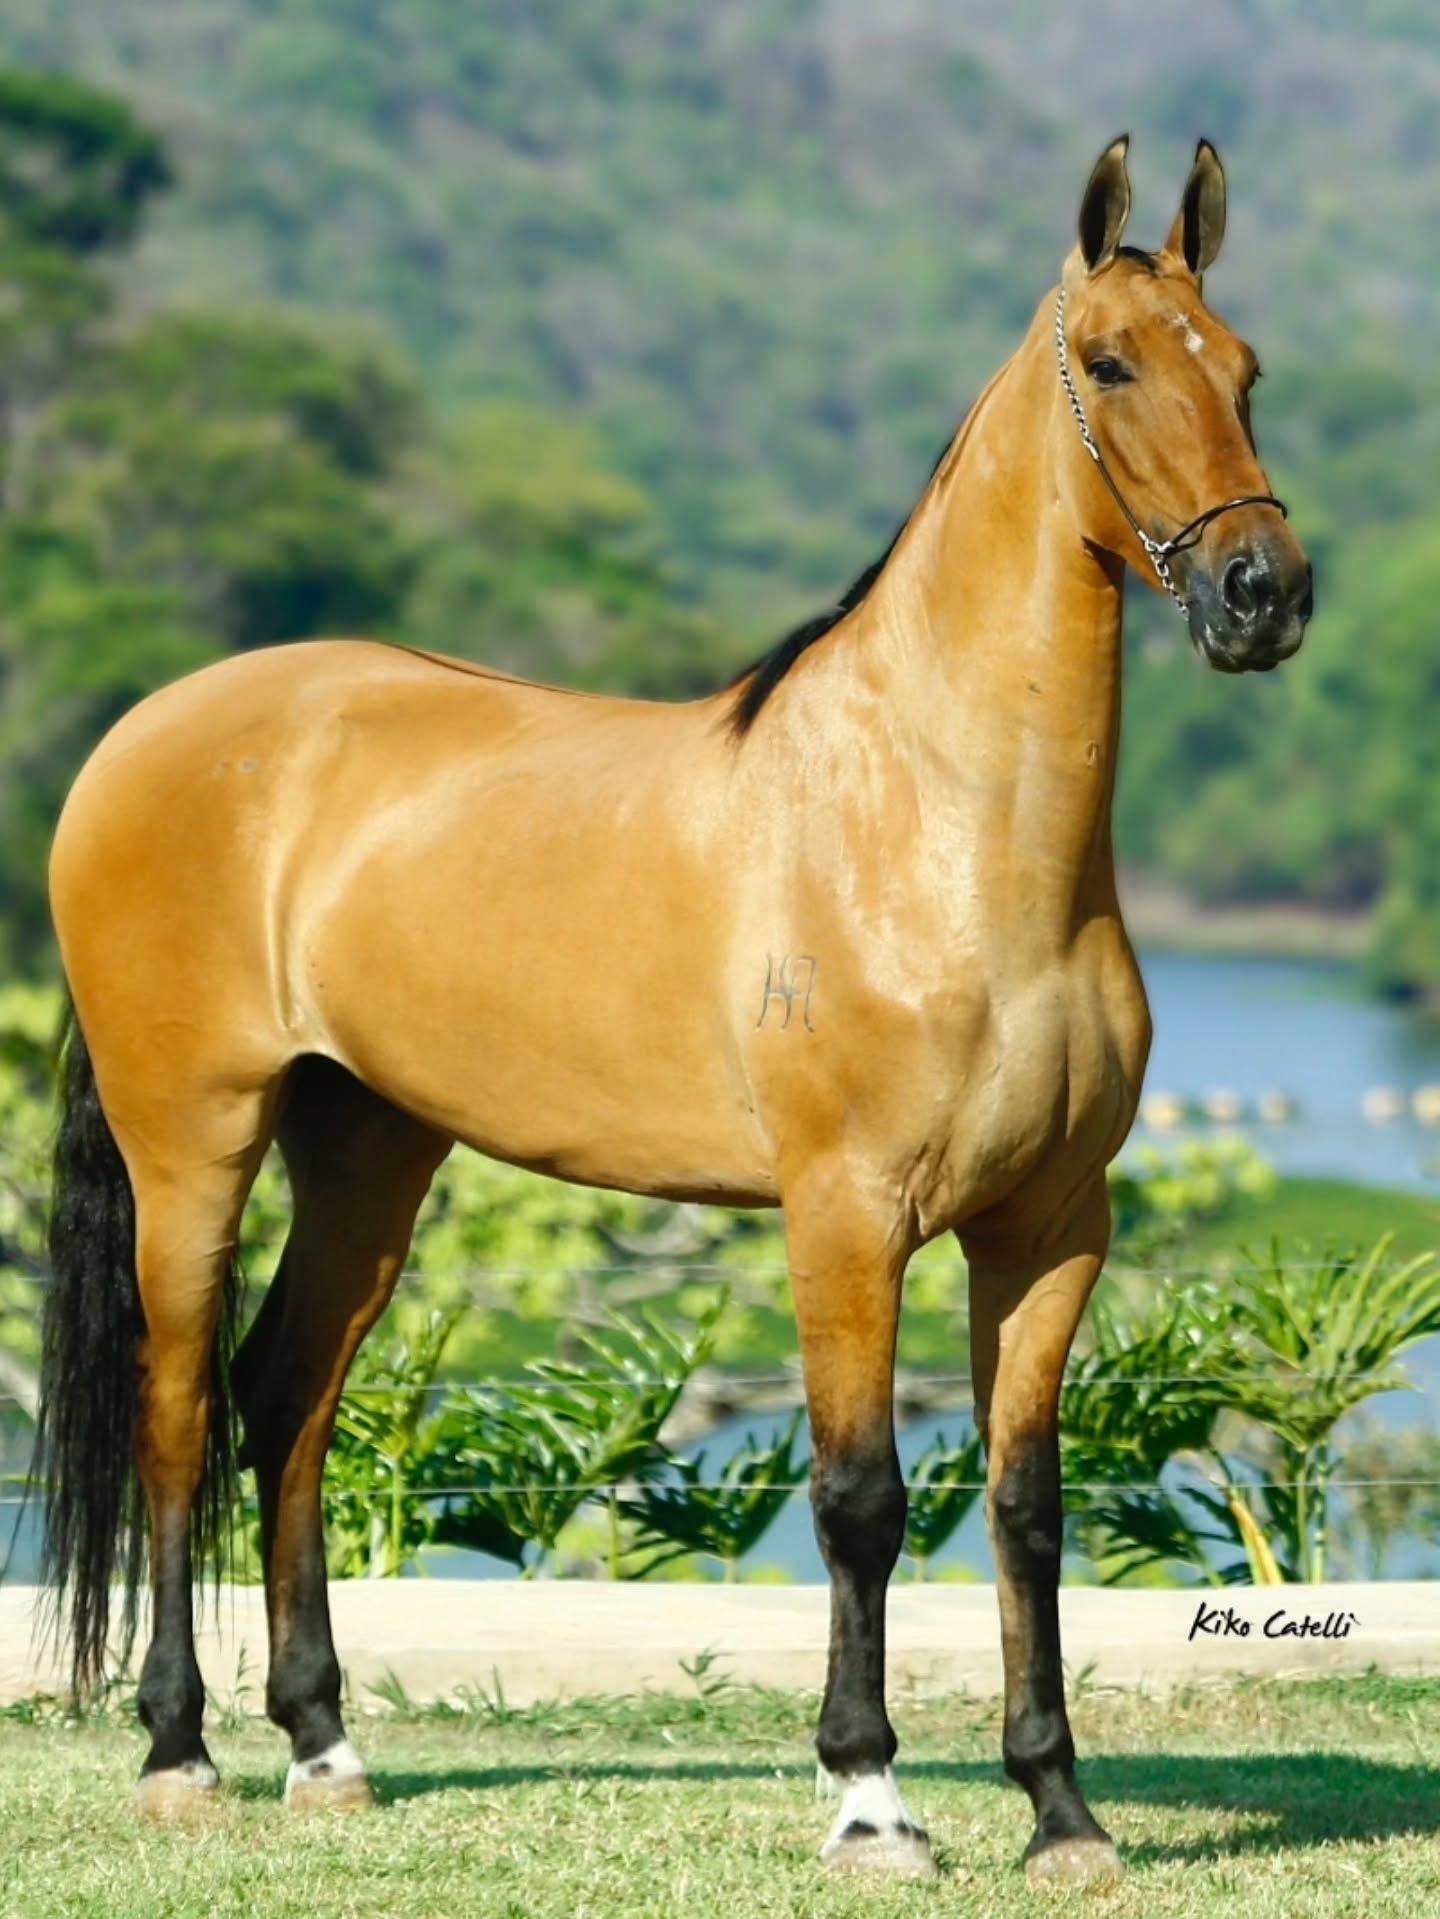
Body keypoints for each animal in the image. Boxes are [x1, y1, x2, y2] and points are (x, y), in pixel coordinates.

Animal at [37, 134, 1311, 1883]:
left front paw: (1061, 1811)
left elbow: (1025, 1501)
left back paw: (324, 1746)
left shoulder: (1052, 1224)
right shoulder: (846, 1212)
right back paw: (178, 1751)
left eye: (1246, 369)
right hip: (194, 1142)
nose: (1267, 593)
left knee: (283, 1399)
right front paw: (870, 1799)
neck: (940, 821)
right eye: (1114, 363)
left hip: (368, 1147)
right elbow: (861, 1498)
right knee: (177, 1409)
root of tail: (139, 732)